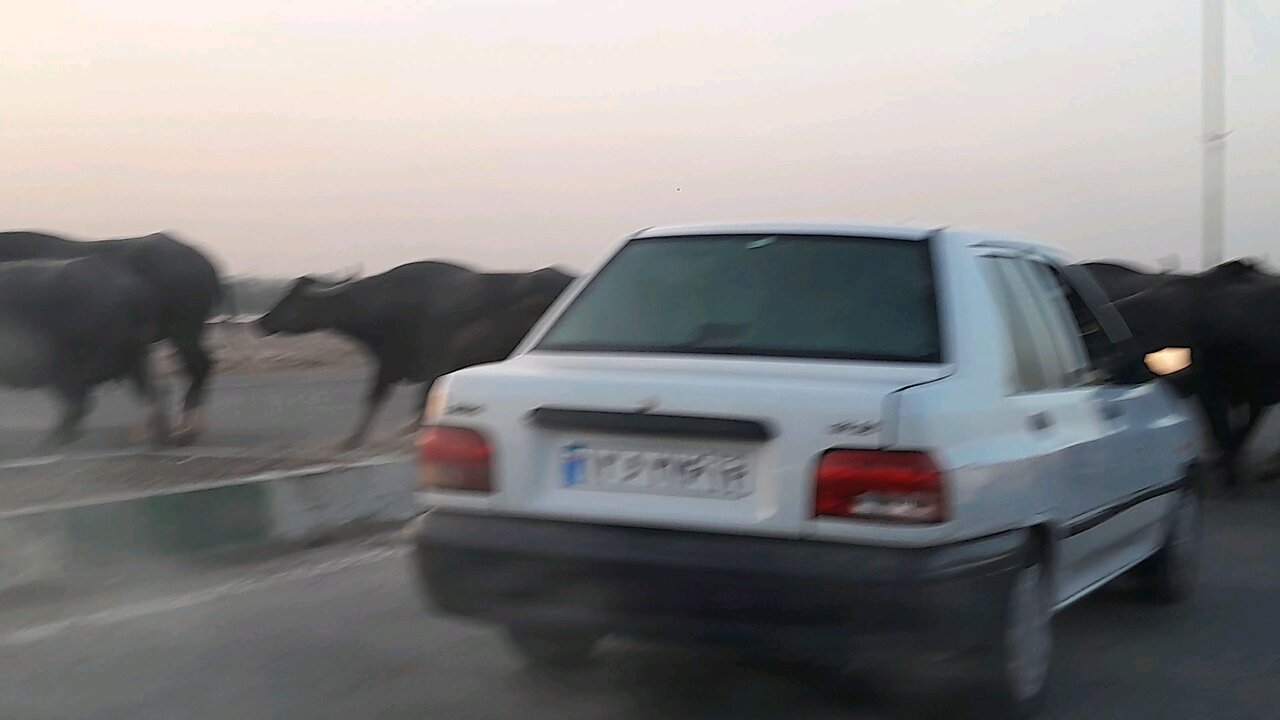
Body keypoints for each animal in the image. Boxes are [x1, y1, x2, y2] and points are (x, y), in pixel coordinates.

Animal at [257, 260, 573, 445]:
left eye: (295, 301)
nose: (262, 322)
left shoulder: (408, 363)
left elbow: (384, 398)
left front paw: (356, 439)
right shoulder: (400, 364)